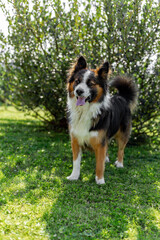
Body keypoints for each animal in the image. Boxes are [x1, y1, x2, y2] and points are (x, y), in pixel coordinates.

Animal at [66, 55, 138, 184]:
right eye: (77, 81)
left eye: (90, 84)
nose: (78, 91)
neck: (84, 111)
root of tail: (121, 97)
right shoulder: (75, 140)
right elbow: (76, 162)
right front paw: (74, 176)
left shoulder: (100, 142)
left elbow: (99, 164)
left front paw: (100, 180)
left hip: (123, 134)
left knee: (121, 149)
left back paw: (120, 164)